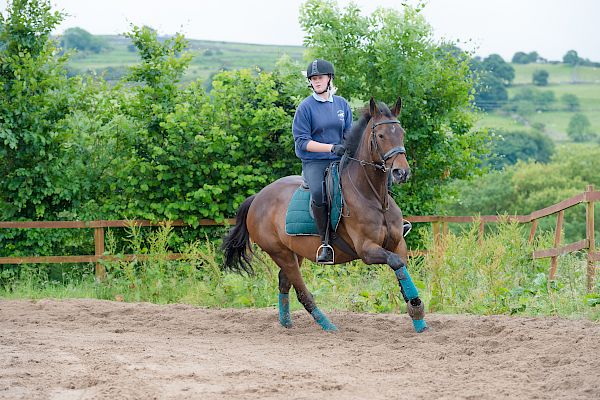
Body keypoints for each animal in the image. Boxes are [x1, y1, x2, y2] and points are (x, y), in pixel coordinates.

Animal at [221, 97, 426, 334]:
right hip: (280, 253)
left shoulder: (398, 244)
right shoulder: (366, 250)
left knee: (284, 282)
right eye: (381, 135)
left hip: (295, 252)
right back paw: (329, 326)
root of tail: (257, 198)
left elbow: (401, 269)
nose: (401, 173)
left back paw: (286, 324)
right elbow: (396, 263)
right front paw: (416, 308)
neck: (374, 198)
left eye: (401, 133)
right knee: (301, 292)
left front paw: (416, 312)